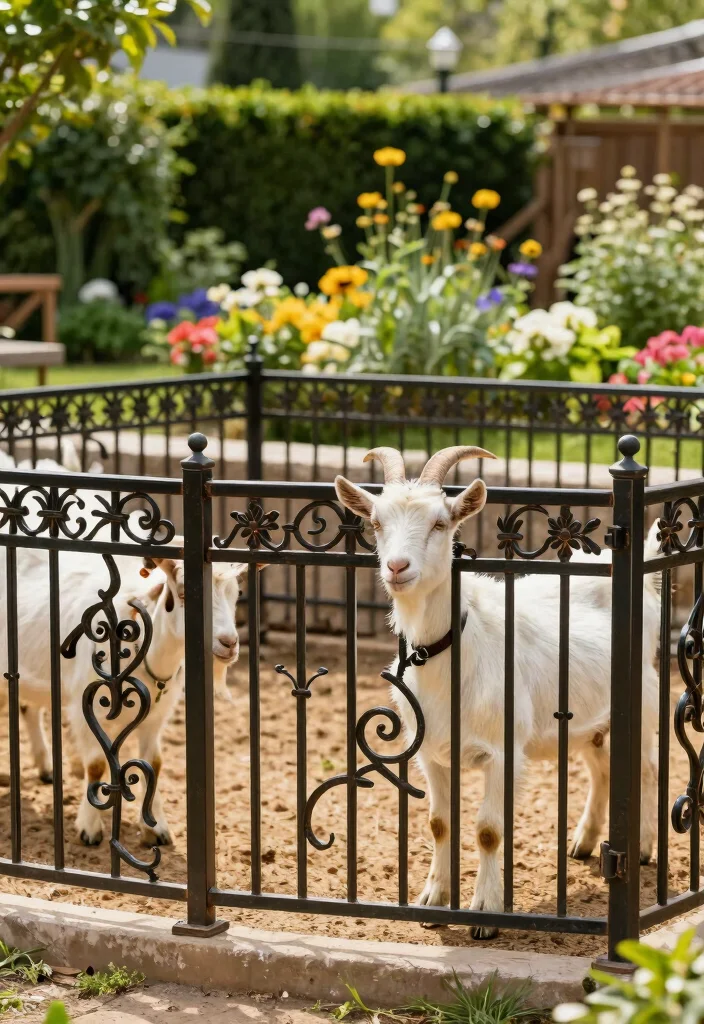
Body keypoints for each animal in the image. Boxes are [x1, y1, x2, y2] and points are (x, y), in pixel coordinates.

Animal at [335, 445, 660, 939]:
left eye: (440, 523)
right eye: (376, 521)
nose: (397, 567)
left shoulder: (504, 753)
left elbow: (488, 830)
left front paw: (484, 913)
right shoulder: (430, 753)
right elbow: (439, 823)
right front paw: (433, 900)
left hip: (640, 700)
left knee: (646, 768)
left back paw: (640, 848)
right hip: (586, 720)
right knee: (602, 767)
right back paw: (584, 843)